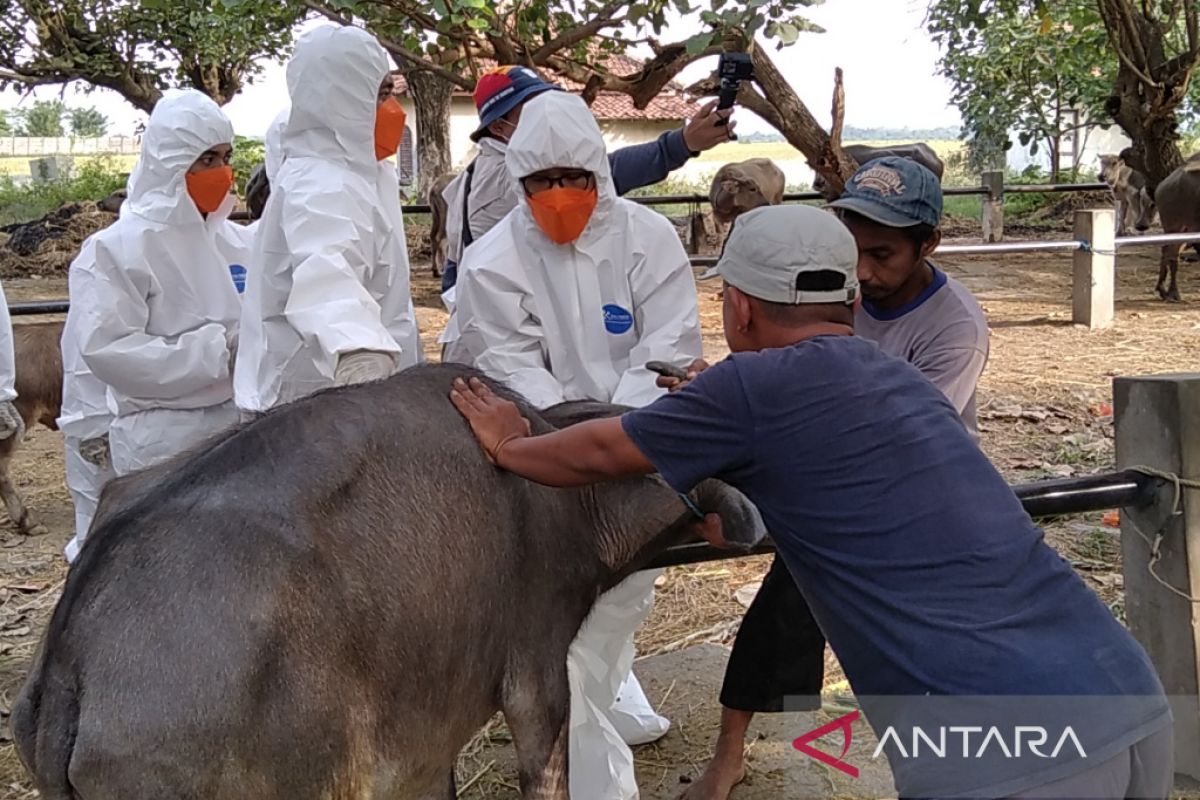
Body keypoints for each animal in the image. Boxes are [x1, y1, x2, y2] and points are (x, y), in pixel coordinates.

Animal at [1142, 152, 1200, 299]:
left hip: (1186, 228)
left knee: (1166, 250)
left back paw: (1162, 290)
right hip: (1173, 221)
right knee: (1172, 255)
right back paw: (1173, 293)